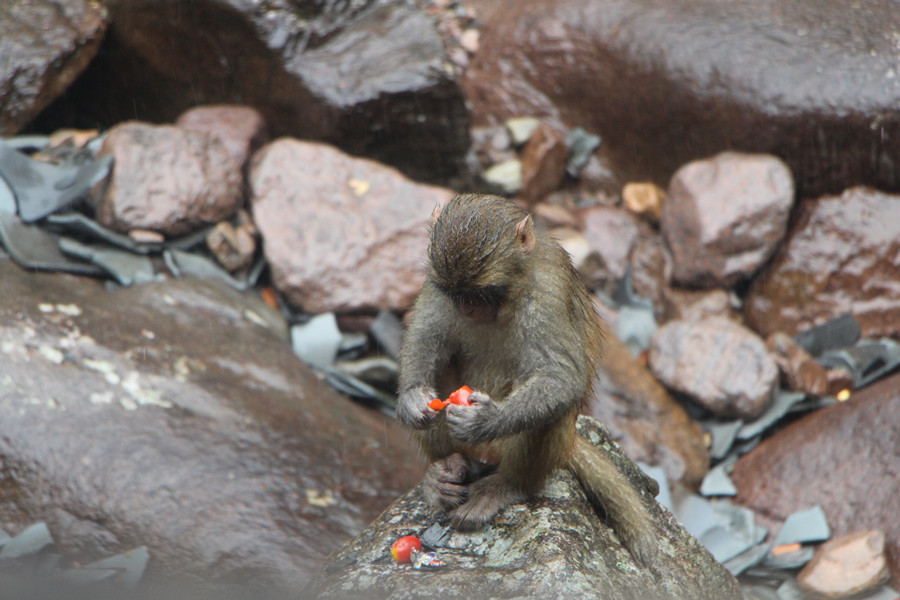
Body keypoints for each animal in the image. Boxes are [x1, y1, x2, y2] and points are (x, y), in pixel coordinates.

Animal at [398, 193, 656, 568]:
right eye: (455, 292)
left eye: (485, 293)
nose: (468, 309)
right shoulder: (436, 281)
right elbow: (425, 335)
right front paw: (412, 398)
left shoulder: (546, 294)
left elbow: (561, 376)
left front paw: (484, 420)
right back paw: (443, 470)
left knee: (547, 415)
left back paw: (508, 485)